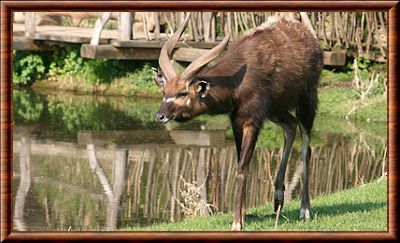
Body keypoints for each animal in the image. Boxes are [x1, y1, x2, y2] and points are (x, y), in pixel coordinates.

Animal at [155, 12, 324, 230]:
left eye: (183, 93)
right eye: (164, 92)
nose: (160, 116)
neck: (237, 82)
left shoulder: (252, 120)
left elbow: (242, 167)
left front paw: (236, 222)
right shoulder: (237, 121)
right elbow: (240, 162)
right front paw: (243, 216)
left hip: (306, 100)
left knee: (306, 148)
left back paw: (305, 210)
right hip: (276, 110)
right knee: (290, 126)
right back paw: (278, 200)